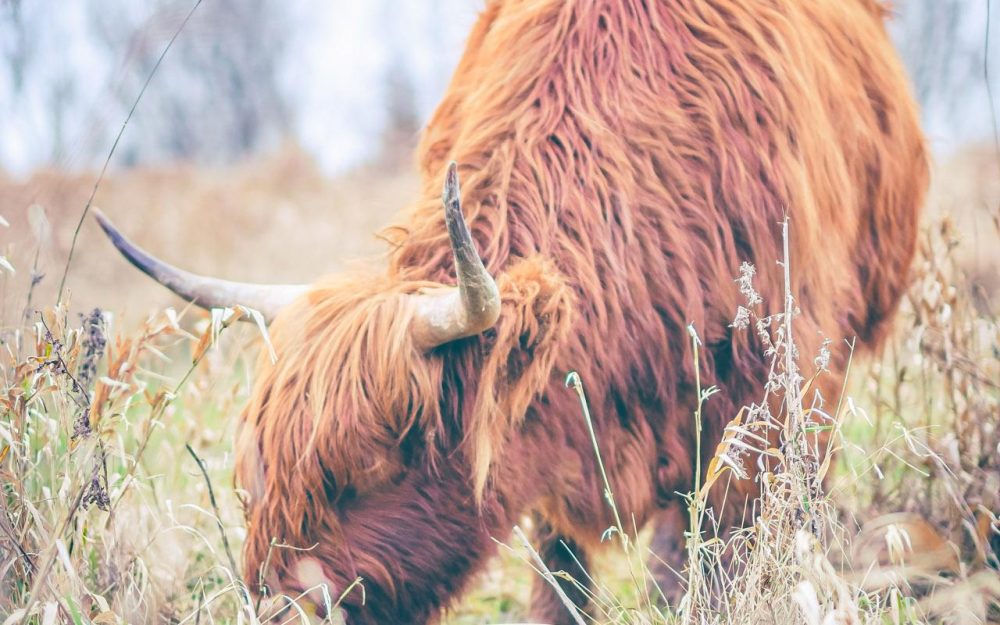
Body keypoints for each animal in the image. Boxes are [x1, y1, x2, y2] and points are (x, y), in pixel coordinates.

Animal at [95, 0, 928, 620]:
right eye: (254, 472)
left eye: (372, 463)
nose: (278, 605)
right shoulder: (551, 430)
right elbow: (562, 576)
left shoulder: (773, 394)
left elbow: (721, 556)